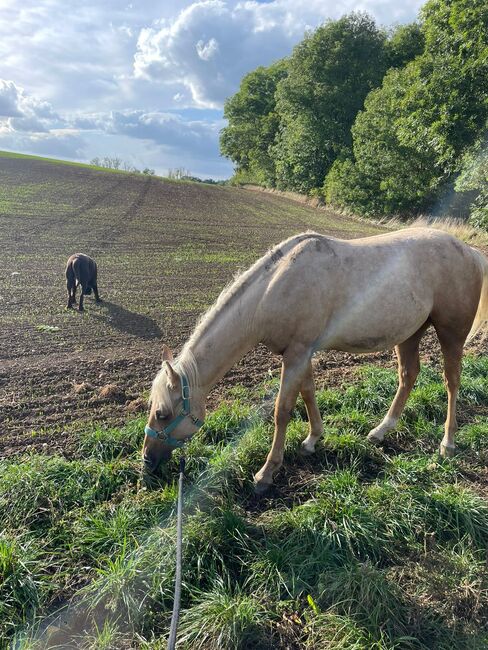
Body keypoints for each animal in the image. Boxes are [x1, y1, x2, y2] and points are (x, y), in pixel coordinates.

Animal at [142, 227, 488, 486]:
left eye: (163, 413)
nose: (146, 460)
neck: (274, 287)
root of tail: (470, 251)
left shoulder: (296, 354)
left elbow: (282, 410)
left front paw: (267, 472)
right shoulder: (300, 351)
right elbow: (308, 392)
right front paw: (312, 439)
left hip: (451, 332)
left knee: (451, 381)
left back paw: (447, 443)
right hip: (410, 333)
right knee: (408, 375)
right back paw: (380, 431)